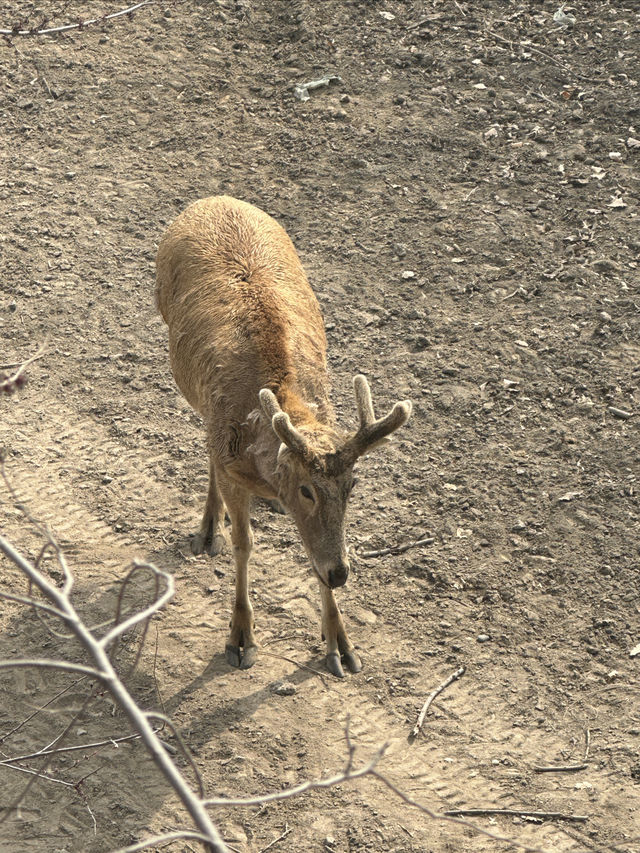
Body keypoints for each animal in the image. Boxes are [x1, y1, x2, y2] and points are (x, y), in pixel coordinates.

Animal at [158, 195, 412, 680]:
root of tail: (215, 199)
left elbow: (312, 558)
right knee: (206, 450)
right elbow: (244, 545)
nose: (341, 573)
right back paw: (208, 529)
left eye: (353, 485)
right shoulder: (229, 453)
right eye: (306, 489)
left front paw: (340, 645)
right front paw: (240, 638)